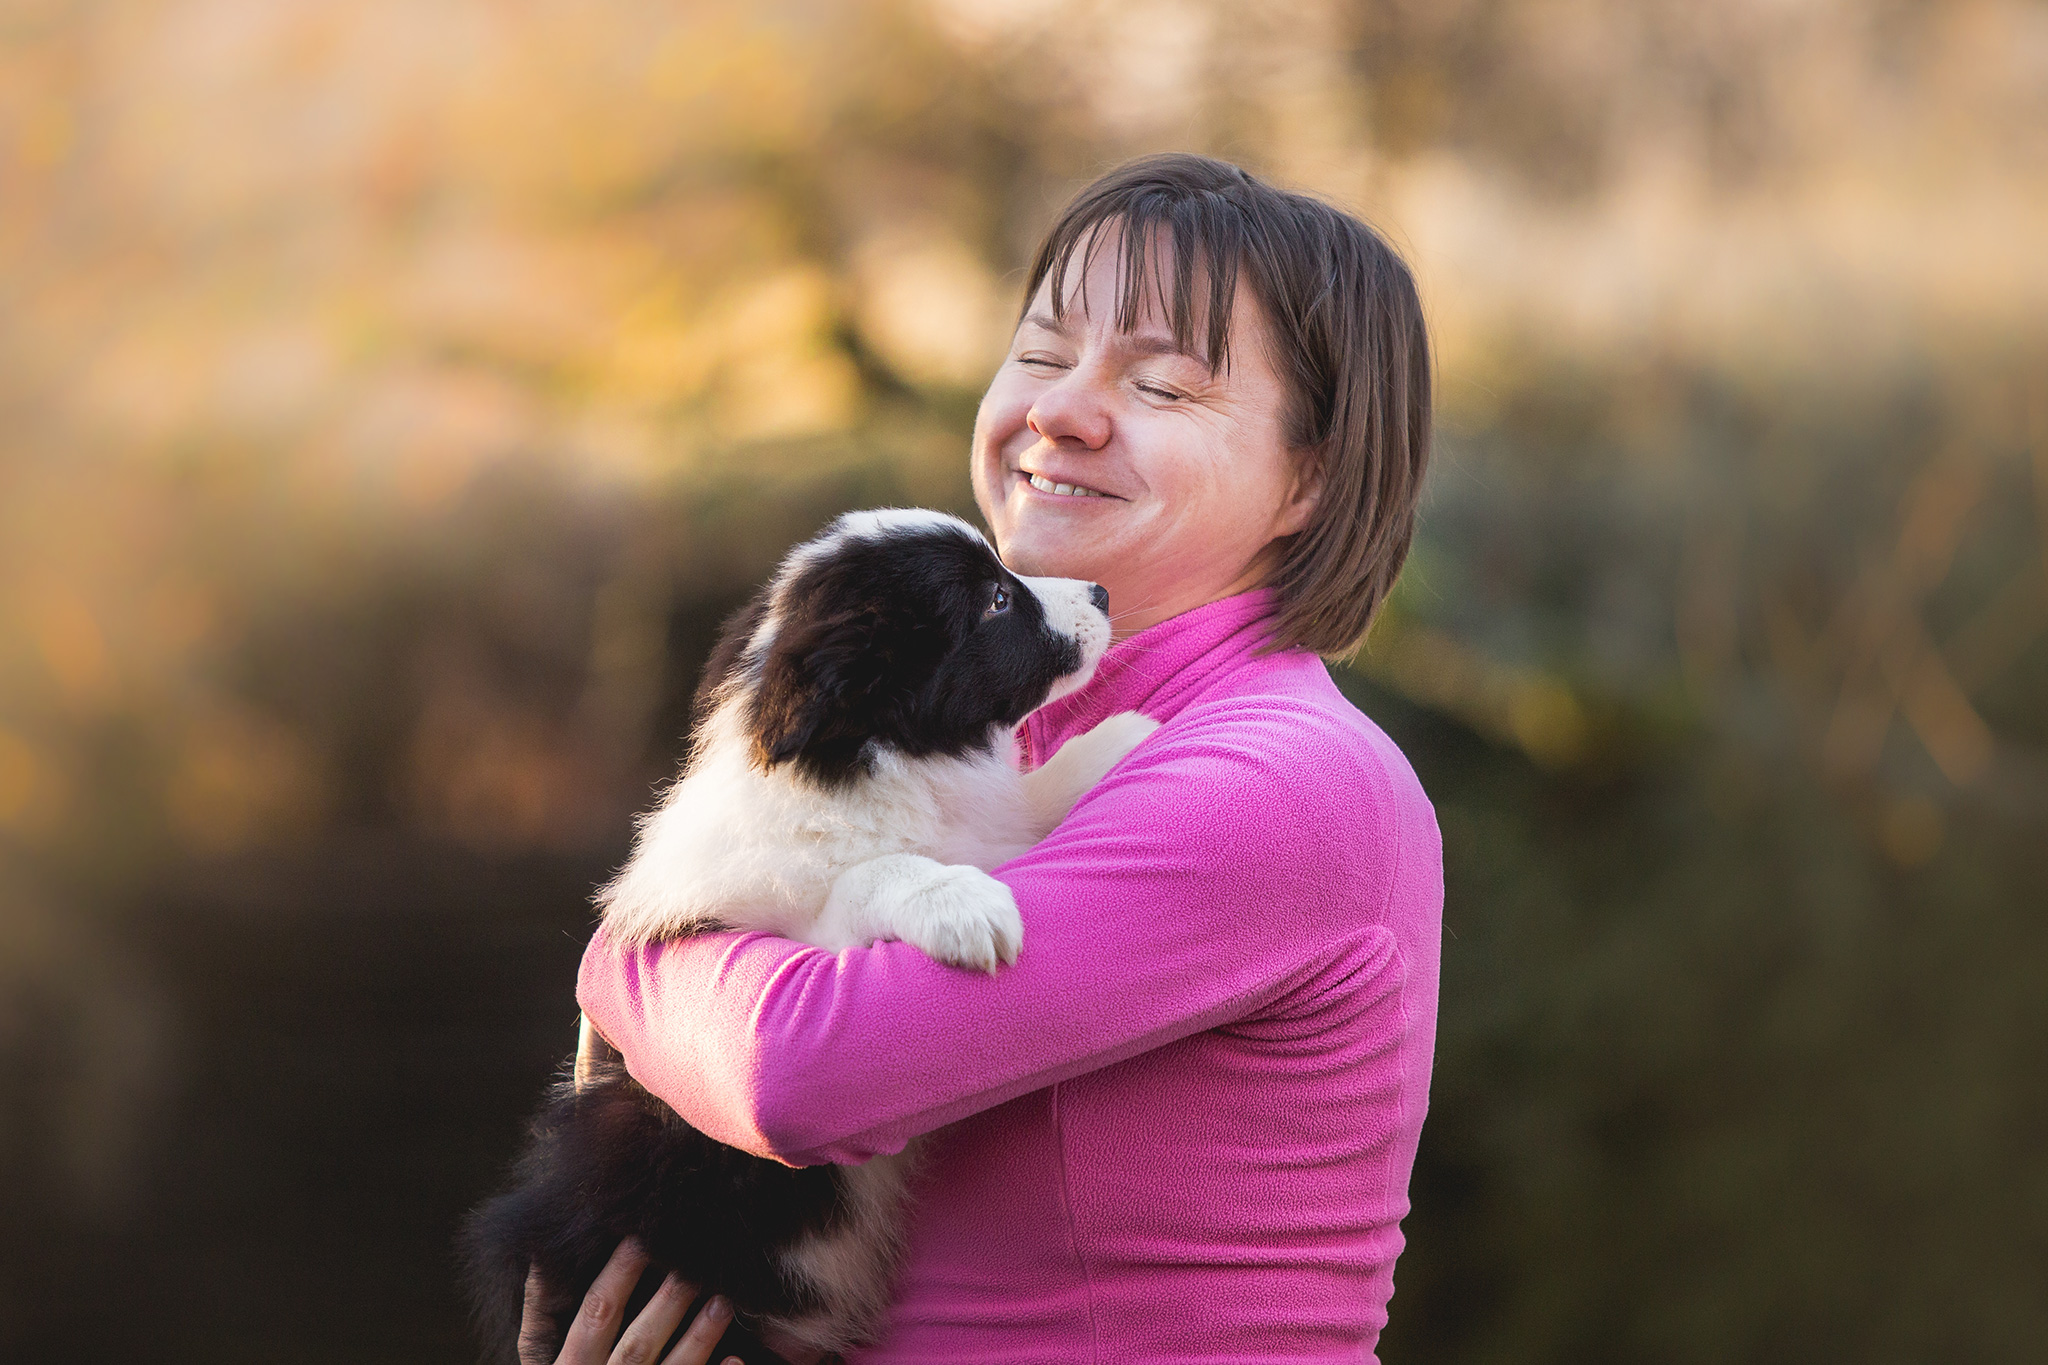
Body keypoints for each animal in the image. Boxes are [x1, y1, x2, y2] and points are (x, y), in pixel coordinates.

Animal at [464, 509, 1163, 1365]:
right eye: (998, 599)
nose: (1101, 591)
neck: (870, 764)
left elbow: (1018, 809)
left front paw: (1120, 738)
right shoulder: (780, 938)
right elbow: (869, 875)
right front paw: (956, 899)